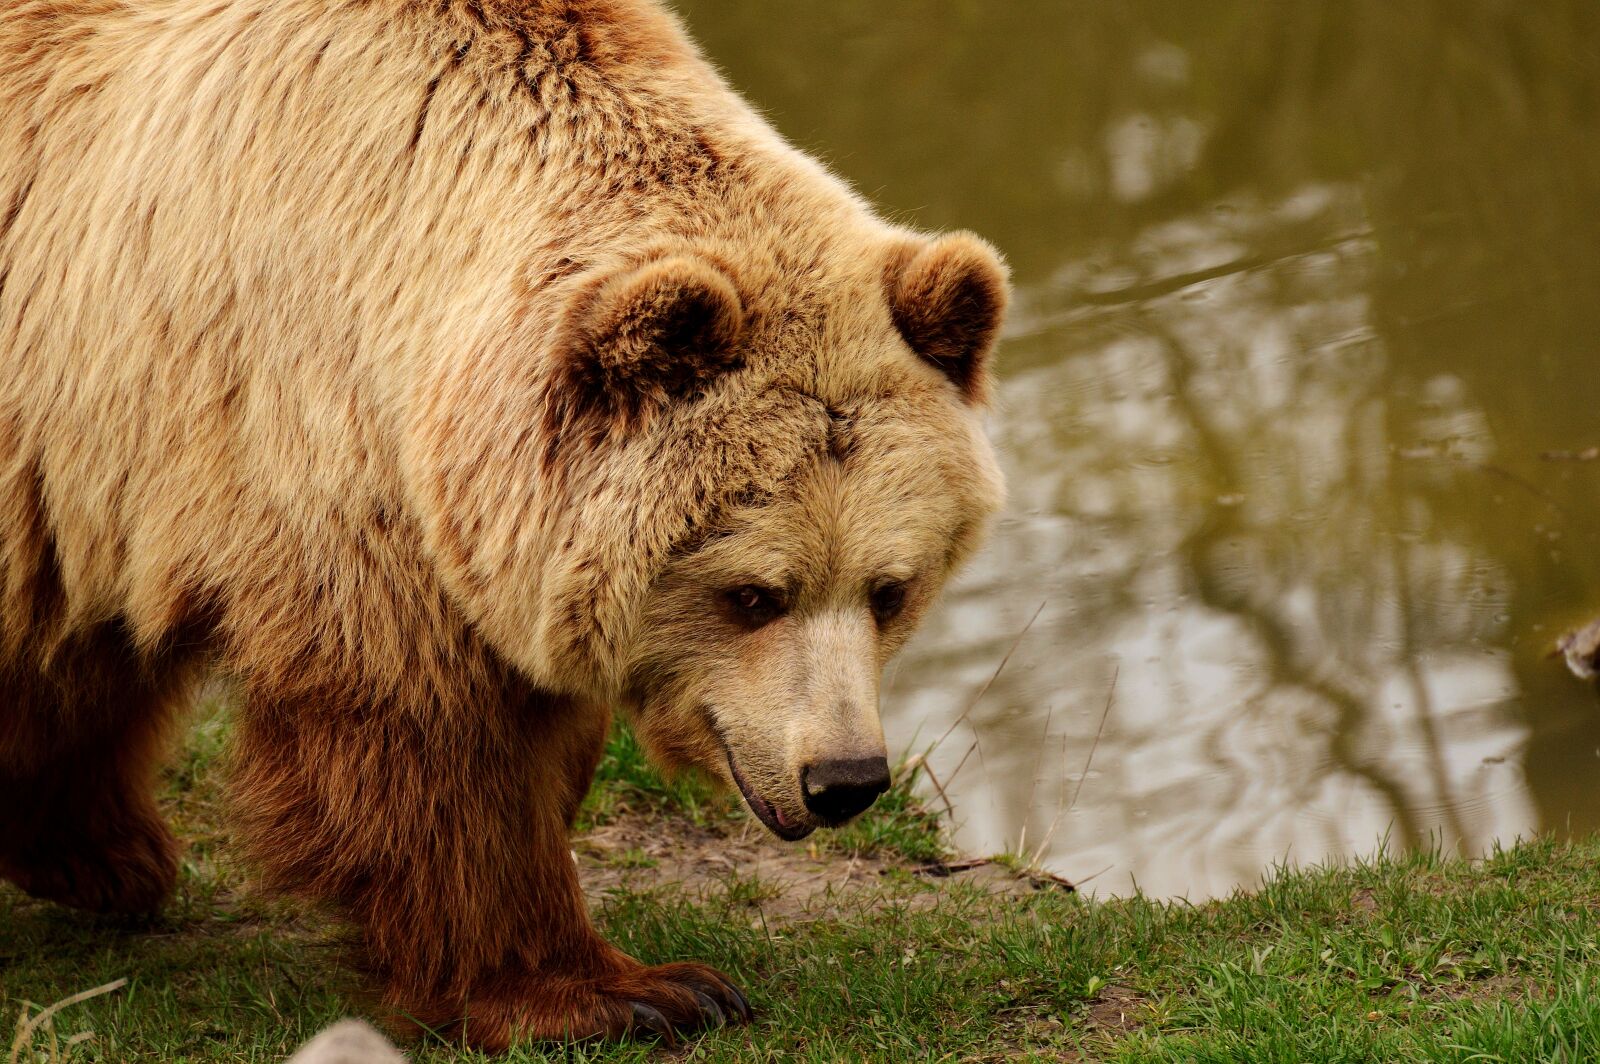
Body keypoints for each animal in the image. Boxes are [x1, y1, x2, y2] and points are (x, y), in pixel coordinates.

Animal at [0, 0, 1007, 1048]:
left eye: (890, 590)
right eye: (753, 594)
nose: (844, 778)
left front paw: (93, 852)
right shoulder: (309, 448)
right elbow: (432, 743)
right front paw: (630, 989)